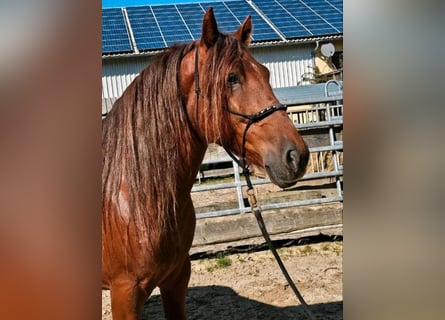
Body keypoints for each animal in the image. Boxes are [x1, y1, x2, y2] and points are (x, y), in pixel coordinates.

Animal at [102, 8, 306, 320]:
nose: (296, 156)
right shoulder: (125, 293)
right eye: (231, 78)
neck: (136, 195)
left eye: (266, 73)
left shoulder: (176, 280)